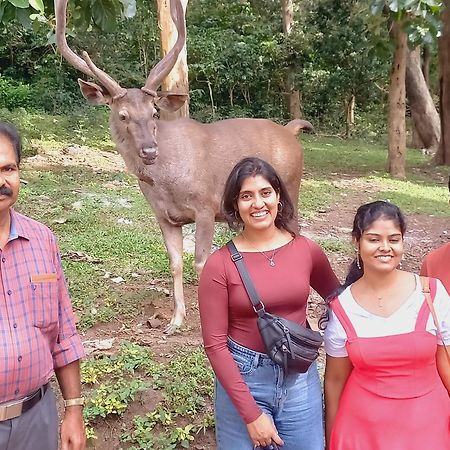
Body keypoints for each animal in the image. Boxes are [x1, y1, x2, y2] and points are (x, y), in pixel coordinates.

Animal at [54, 0, 312, 334]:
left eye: (154, 112)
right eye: (122, 115)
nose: (149, 150)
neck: (166, 183)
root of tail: (291, 132)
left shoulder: (205, 206)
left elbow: (201, 263)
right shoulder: (164, 217)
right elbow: (175, 262)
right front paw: (175, 319)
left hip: (291, 188)